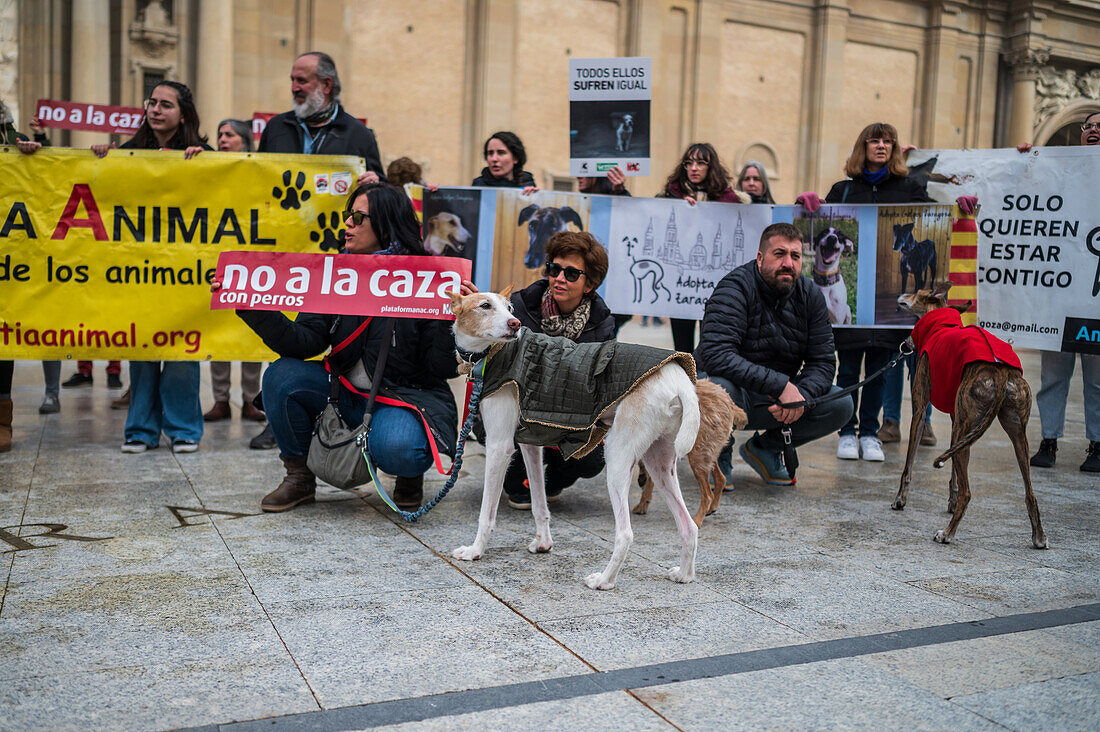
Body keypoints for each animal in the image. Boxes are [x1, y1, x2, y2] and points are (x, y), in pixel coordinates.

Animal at [451, 286, 699, 590]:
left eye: (509, 308)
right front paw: (543, 543)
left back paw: (604, 580)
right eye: (485, 306)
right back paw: (684, 574)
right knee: (689, 526)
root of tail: (678, 379)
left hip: (618, 457)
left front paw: (475, 551)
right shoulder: (529, 444)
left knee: (625, 533)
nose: (515, 324)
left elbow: (487, 512)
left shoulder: (500, 446)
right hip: (659, 462)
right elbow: (539, 501)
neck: (497, 354)